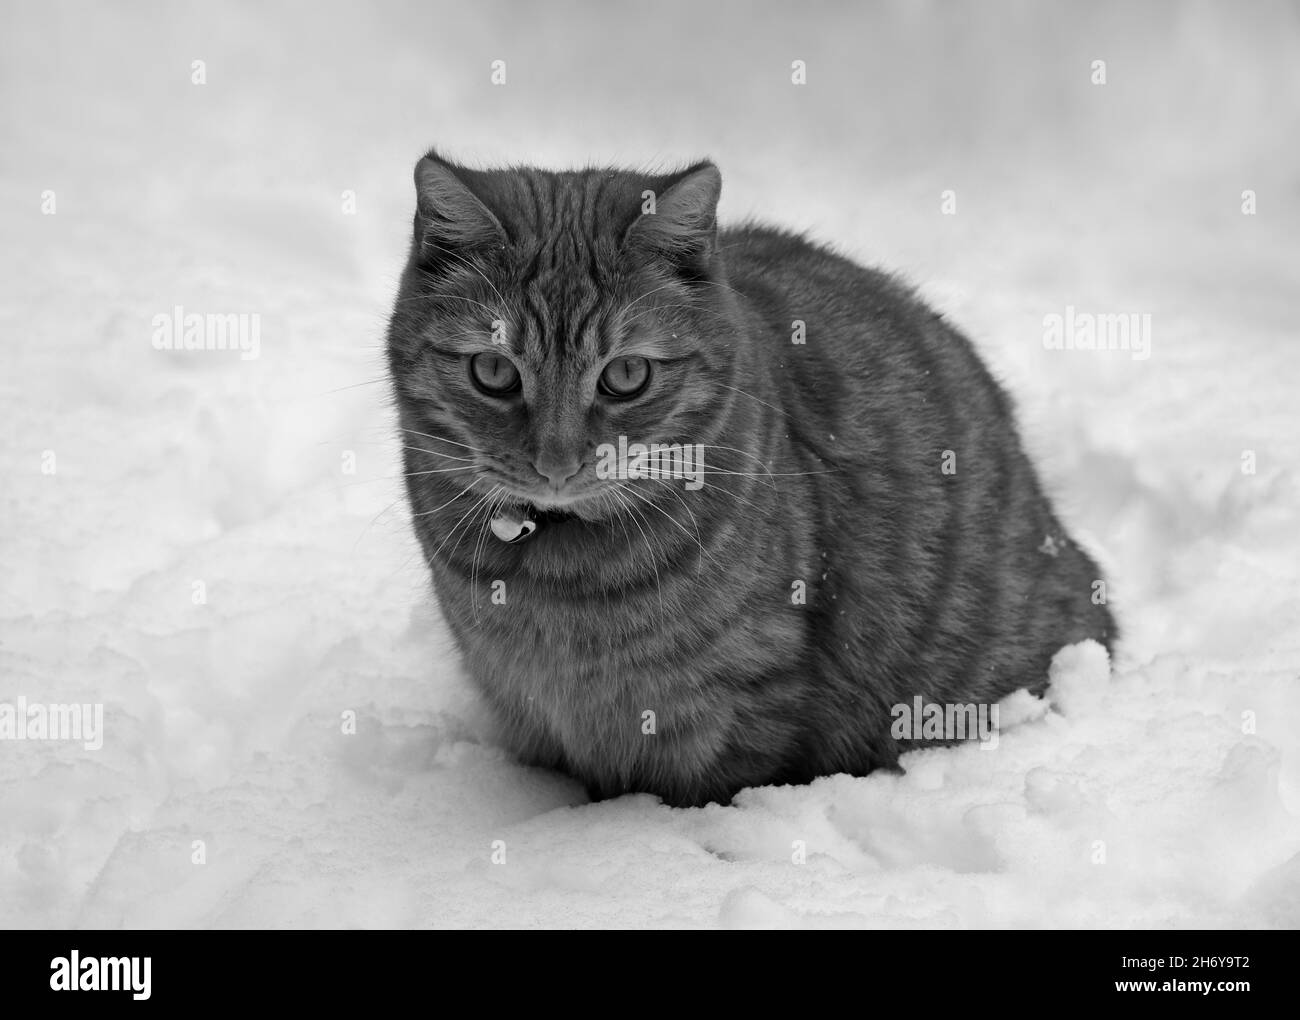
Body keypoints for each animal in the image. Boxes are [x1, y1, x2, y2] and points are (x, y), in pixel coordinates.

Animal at [384, 149, 1118, 805]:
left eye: (626, 375)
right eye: (494, 371)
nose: (556, 464)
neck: (556, 579)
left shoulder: (739, 702)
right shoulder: (523, 703)